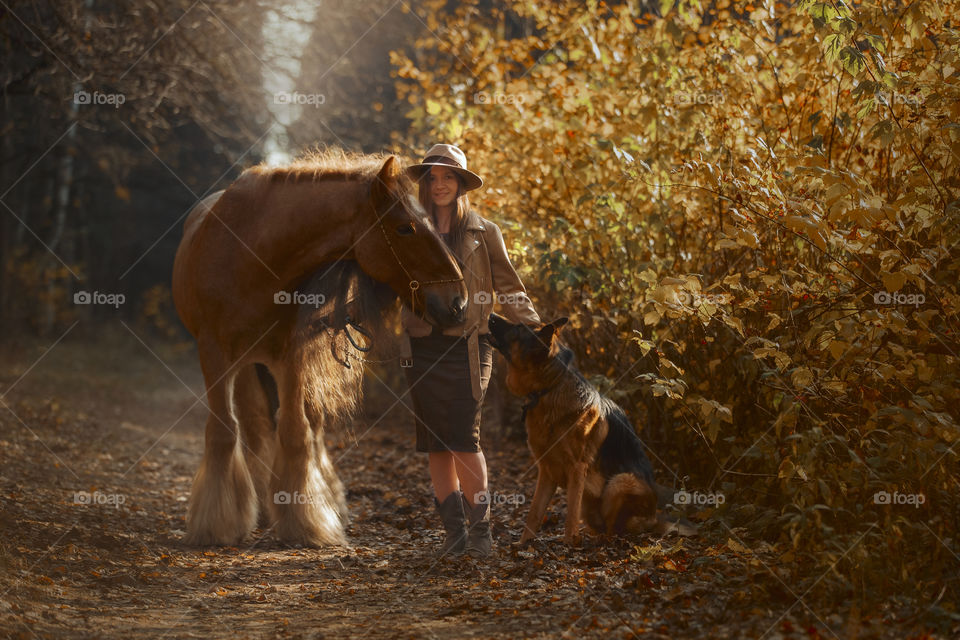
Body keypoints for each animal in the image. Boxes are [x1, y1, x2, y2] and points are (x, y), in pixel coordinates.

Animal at [176, 149, 472, 544]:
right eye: (405, 228)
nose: (457, 301)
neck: (249, 257)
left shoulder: (290, 355)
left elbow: (296, 434)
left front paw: (305, 521)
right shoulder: (215, 356)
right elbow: (224, 433)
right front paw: (217, 524)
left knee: (309, 427)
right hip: (247, 367)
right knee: (253, 427)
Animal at [488, 312, 676, 544]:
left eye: (518, 328)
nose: (491, 314)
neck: (550, 387)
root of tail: (654, 520)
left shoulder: (577, 469)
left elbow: (570, 514)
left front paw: (569, 544)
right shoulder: (546, 471)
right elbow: (534, 512)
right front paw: (523, 543)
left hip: (620, 482)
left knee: (614, 530)